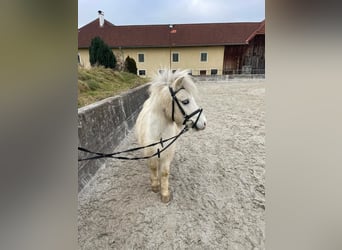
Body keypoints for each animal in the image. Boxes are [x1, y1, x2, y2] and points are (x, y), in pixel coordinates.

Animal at [136, 69, 206, 202]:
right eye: (185, 101)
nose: (204, 123)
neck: (159, 134)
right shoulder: (150, 152)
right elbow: (153, 167)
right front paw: (155, 186)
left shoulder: (167, 154)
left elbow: (164, 172)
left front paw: (164, 194)